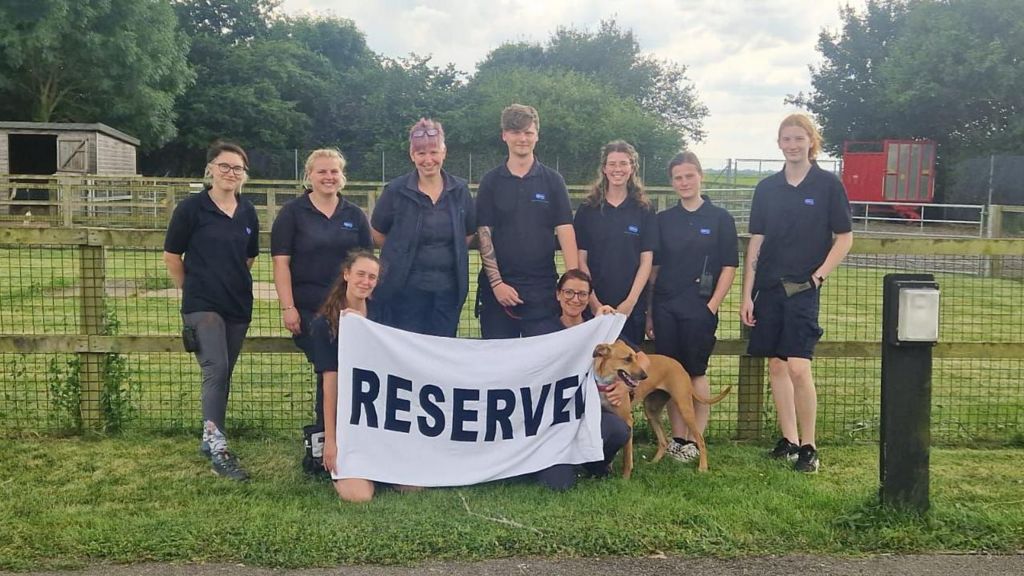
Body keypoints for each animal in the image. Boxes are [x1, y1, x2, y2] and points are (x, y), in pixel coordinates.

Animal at [593, 338, 729, 473]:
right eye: (627, 359)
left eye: (636, 357)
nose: (645, 376)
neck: (606, 383)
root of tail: (679, 364)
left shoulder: (627, 420)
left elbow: (627, 458)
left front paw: (625, 477)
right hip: (651, 411)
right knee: (664, 441)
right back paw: (654, 462)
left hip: (684, 407)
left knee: (700, 439)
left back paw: (703, 467)